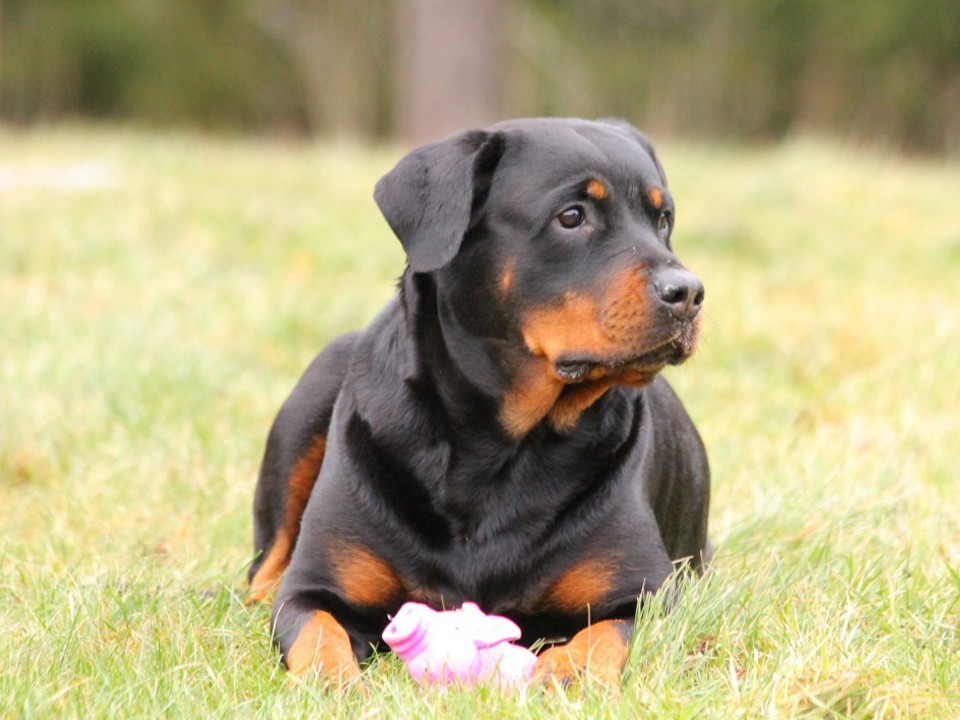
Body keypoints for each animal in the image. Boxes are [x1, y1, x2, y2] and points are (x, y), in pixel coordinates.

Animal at [251, 116, 708, 688]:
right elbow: (317, 632)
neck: (499, 442)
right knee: (264, 567)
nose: (688, 292)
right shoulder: (314, 590)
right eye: (572, 216)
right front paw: (335, 682)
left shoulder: (644, 595)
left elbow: (602, 636)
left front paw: (564, 672)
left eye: (663, 220)